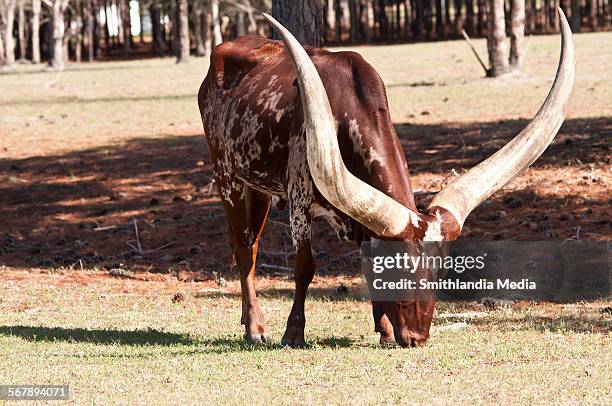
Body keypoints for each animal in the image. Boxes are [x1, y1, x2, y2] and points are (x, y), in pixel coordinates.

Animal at [198, 8, 576, 346]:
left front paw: (384, 329)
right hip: (227, 174)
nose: (417, 337)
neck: (347, 113)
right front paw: (293, 334)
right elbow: (305, 266)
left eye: (439, 274)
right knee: (244, 247)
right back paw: (255, 329)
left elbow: (366, 263)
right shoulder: (300, 194)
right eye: (401, 272)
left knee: (250, 243)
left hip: (258, 187)